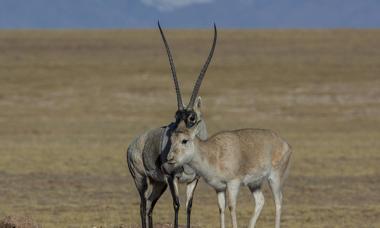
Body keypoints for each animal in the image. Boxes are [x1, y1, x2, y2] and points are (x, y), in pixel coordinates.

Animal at [126, 21, 217, 228]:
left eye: (192, 118)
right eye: (176, 116)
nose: (169, 156)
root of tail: (132, 145)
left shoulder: (194, 180)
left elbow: (189, 206)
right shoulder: (171, 177)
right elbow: (176, 204)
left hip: (158, 184)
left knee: (150, 204)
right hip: (141, 179)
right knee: (143, 205)